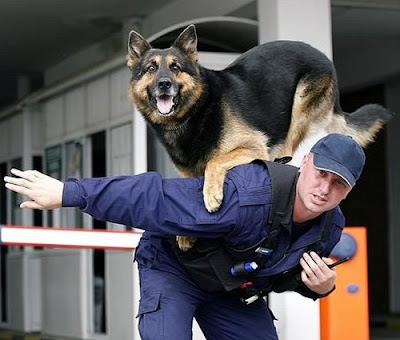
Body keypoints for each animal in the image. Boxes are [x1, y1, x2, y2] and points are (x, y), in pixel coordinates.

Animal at [128, 23, 394, 250]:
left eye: (175, 67)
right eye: (151, 68)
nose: (164, 84)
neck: (196, 111)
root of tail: (324, 57)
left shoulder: (254, 147)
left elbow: (215, 161)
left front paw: (212, 195)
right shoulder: (188, 172)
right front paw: (184, 233)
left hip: (297, 113)